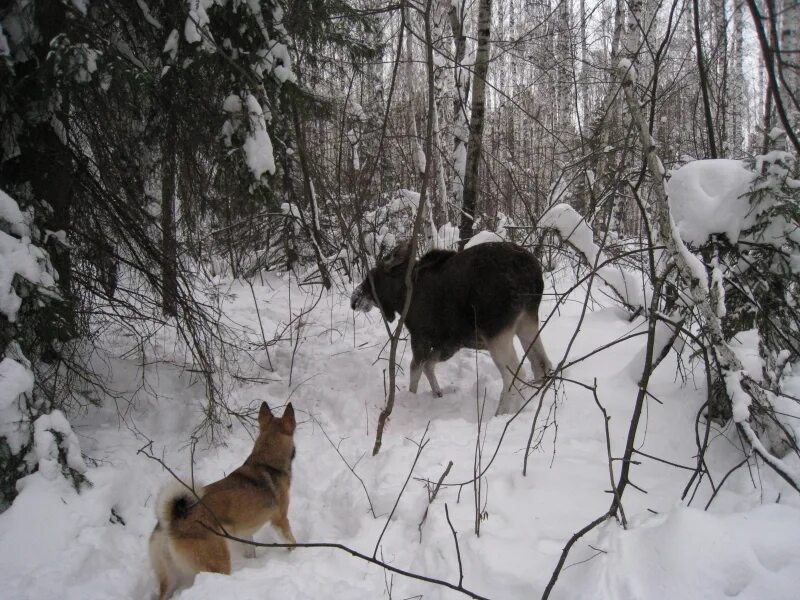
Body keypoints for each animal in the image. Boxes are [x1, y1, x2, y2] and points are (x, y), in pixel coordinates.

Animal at [149, 400, 296, 596]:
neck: (266, 462)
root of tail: (171, 521)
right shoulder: (280, 519)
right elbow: (291, 541)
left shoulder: (245, 532)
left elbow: (251, 549)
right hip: (219, 562)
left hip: (169, 577)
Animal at [354, 241, 552, 414]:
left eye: (370, 278)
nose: (354, 298)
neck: (401, 298)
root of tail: (531, 273)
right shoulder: (450, 344)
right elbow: (428, 365)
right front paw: (437, 392)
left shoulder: (420, 337)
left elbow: (415, 369)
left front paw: (411, 399)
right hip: (527, 322)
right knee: (541, 363)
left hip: (496, 334)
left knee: (514, 374)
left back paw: (501, 413)